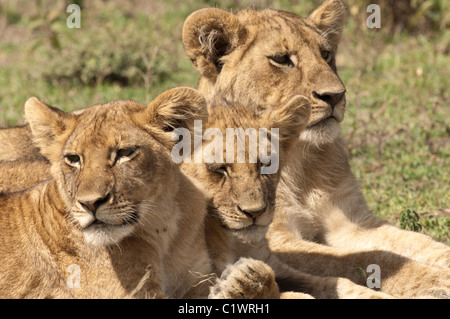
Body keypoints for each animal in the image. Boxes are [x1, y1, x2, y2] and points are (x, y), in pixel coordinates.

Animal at [0, 88, 219, 300]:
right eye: (73, 158)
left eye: (125, 153)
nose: (90, 203)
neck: (163, 228)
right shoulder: (134, 291)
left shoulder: (198, 280)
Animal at [181, 95, 396, 300]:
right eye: (219, 169)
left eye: (266, 164)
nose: (255, 212)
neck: (231, 242)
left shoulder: (275, 264)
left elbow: (335, 282)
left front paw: (245, 280)